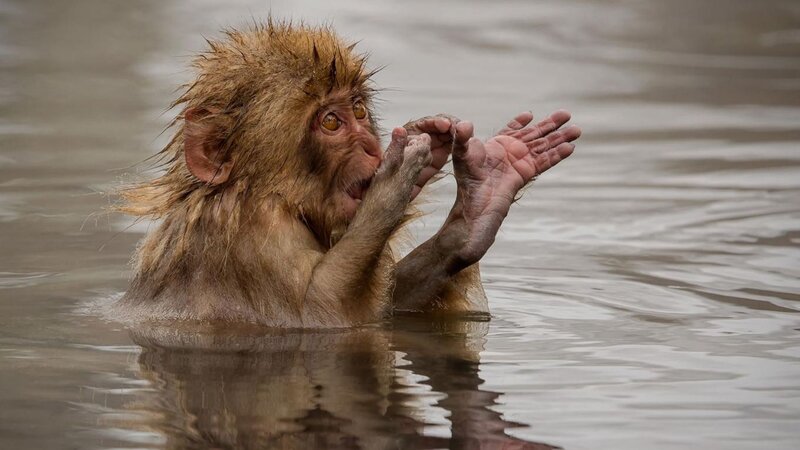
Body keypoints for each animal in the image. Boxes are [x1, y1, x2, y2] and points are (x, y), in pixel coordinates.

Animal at [116, 20, 581, 327]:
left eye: (358, 110)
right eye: (331, 122)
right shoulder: (254, 238)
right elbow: (323, 312)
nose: (371, 147)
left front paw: (475, 210)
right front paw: (393, 186)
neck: (264, 194)